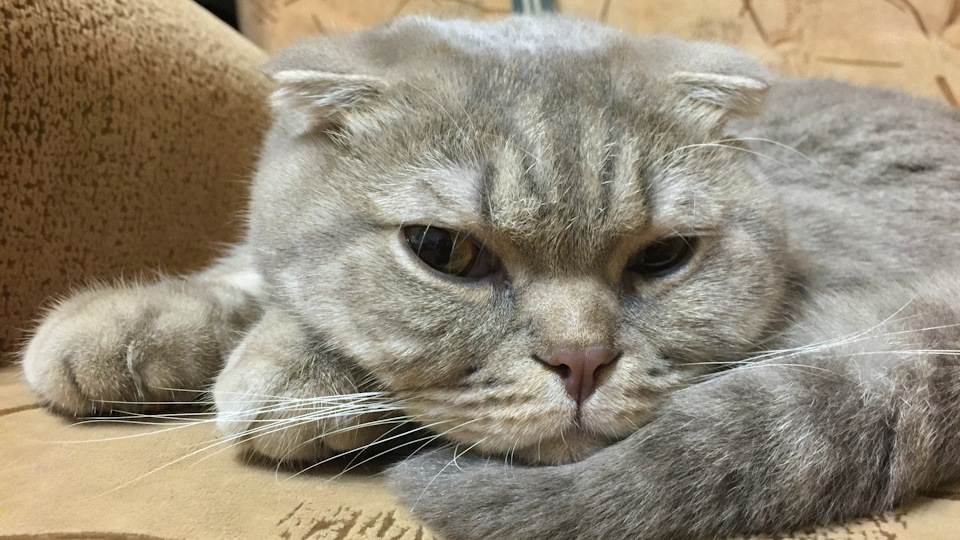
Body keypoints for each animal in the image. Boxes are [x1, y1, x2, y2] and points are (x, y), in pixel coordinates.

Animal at [21, 15, 960, 540]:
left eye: (661, 258)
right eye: (444, 251)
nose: (581, 362)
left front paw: (292, 372)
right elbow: (252, 266)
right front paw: (122, 328)